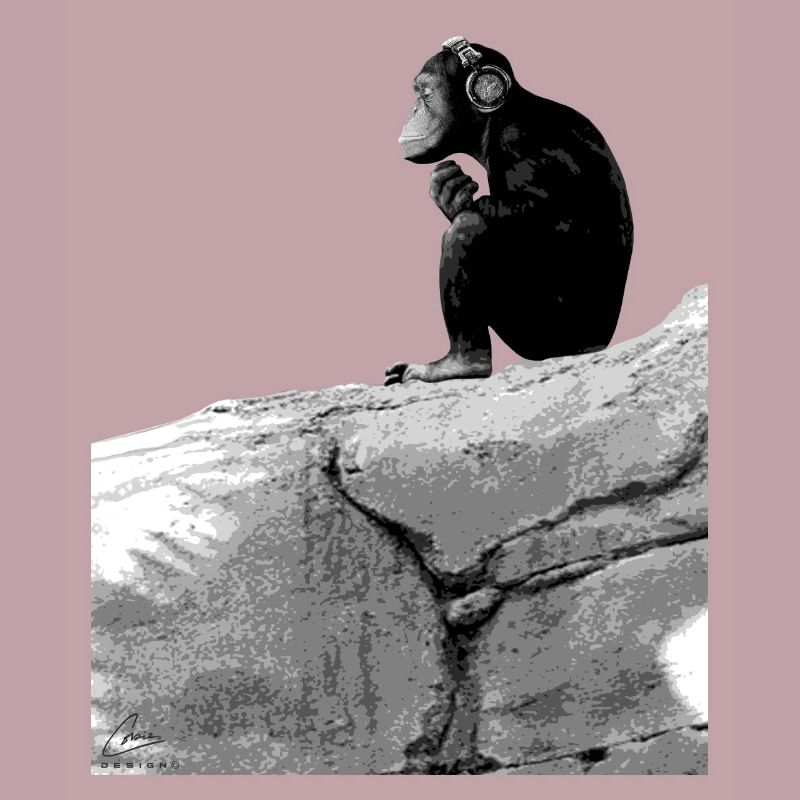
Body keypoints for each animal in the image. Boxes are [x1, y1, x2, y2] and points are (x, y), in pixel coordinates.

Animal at [384, 37, 633, 386]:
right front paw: (448, 189)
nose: (414, 109)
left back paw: (462, 363)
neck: (494, 121)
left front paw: (452, 196)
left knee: (469, 229)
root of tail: (600, 344)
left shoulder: (519, 138)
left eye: (426, 93)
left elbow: (551, 216)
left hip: (546, 332)